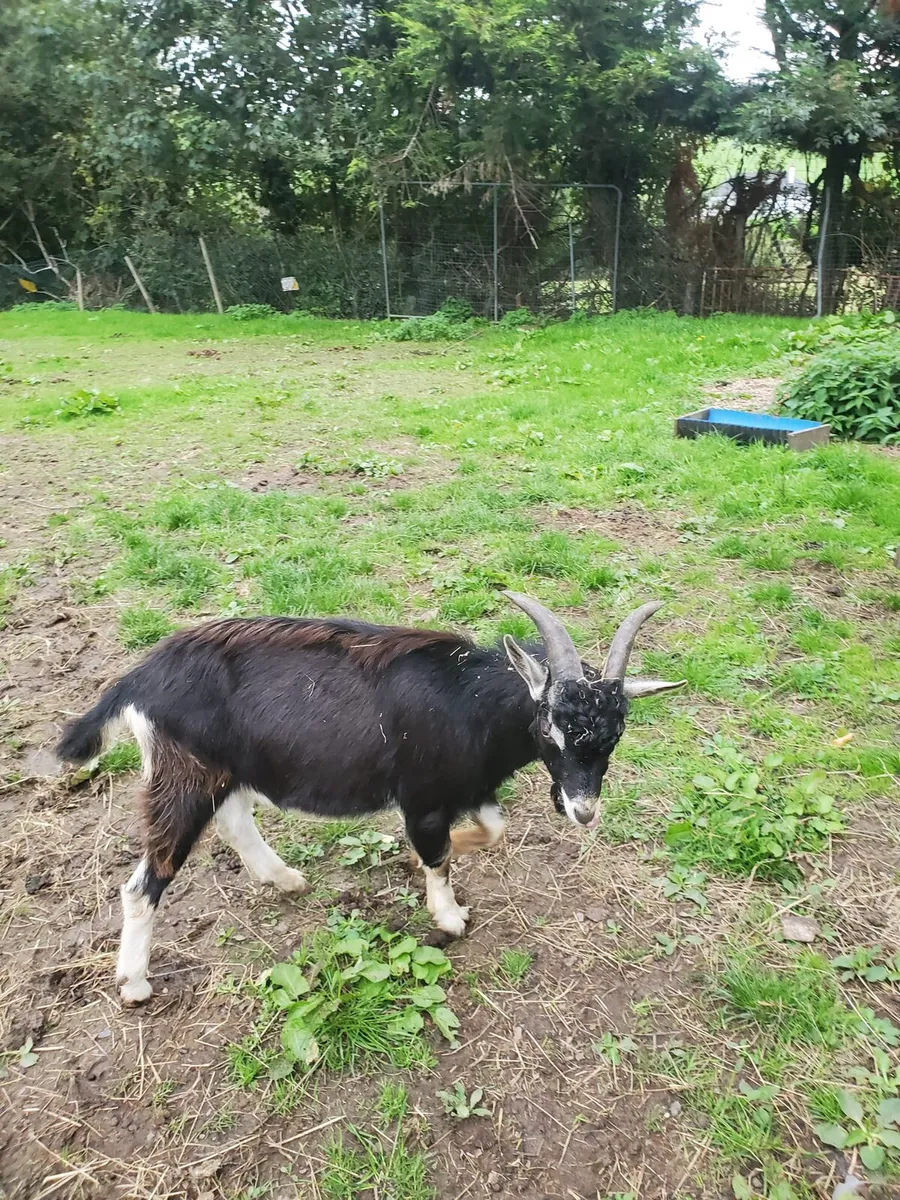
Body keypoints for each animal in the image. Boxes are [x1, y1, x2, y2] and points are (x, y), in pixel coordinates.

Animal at [56, 592, 684, 1004]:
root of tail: (139, 679)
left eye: (615, 735)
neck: (470, 702)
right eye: (550, 729)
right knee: (146, 881)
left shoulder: (470, 787)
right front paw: (447, 914)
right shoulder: (424, 796)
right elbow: (438, 857)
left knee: (234, 819)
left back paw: (284, 879)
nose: (583, 810)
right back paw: (135, 983)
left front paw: (414, 858)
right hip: (185, 775)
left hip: (223, 770)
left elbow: (491, 829)